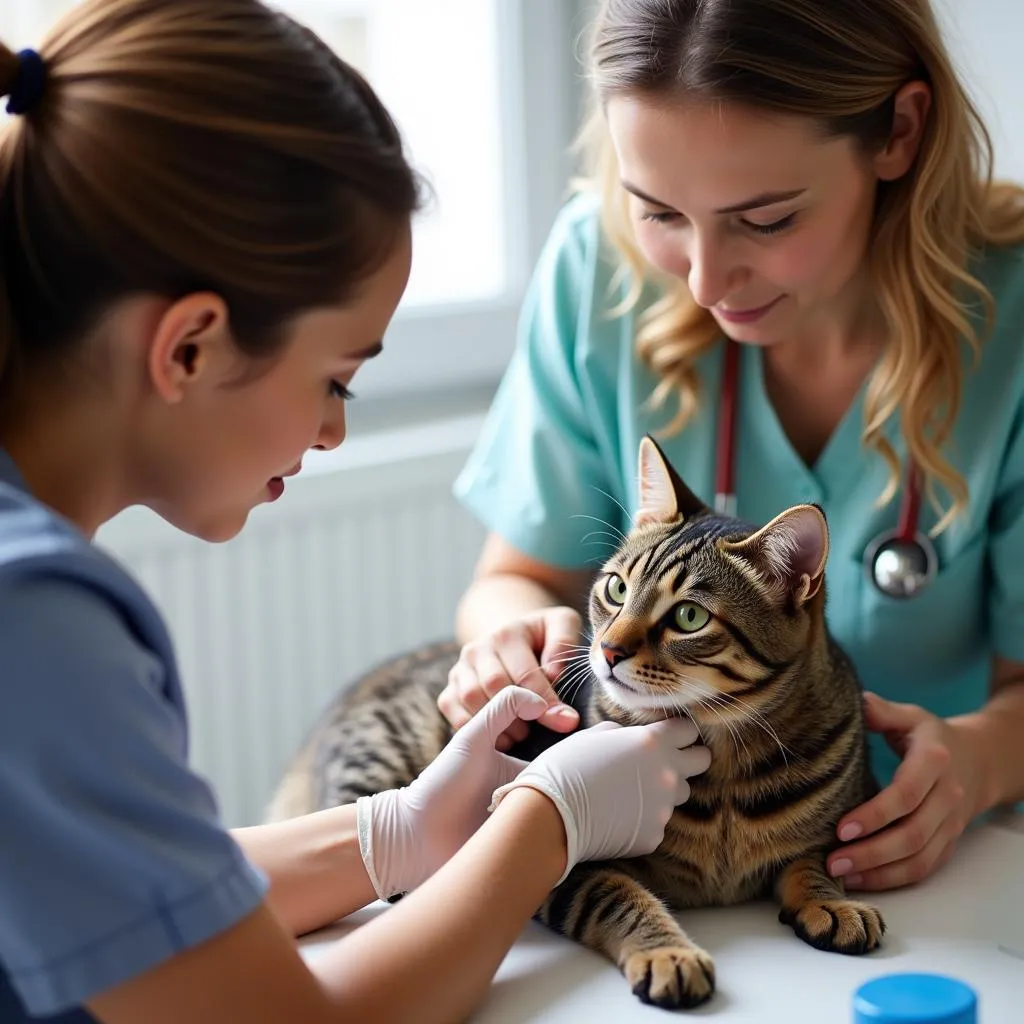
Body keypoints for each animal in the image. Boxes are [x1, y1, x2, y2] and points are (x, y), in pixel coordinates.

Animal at [268, 434, 884, 1007]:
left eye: (689, 617)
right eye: (616, 588)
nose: (608, 650)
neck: (725, 763)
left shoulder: (836, 822)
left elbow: (816, 859)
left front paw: (833, 903)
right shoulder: (572, 870)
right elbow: (619, 898)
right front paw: (668, 952)